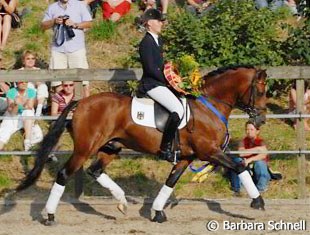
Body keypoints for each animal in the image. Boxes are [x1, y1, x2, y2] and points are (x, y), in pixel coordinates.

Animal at [15, 65, 266, 225]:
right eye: (261, 90)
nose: (261, 120)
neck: (208, 106)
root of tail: (82, 102)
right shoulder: (209, 152)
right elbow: (240, 166)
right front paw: (258, 202)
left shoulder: (186, 157)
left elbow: (170, 182)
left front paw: (157, 212)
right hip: (84, 149)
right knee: (64, 174)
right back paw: (49, 216)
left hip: (111, 146)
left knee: (95, 170)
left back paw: (122, 202)